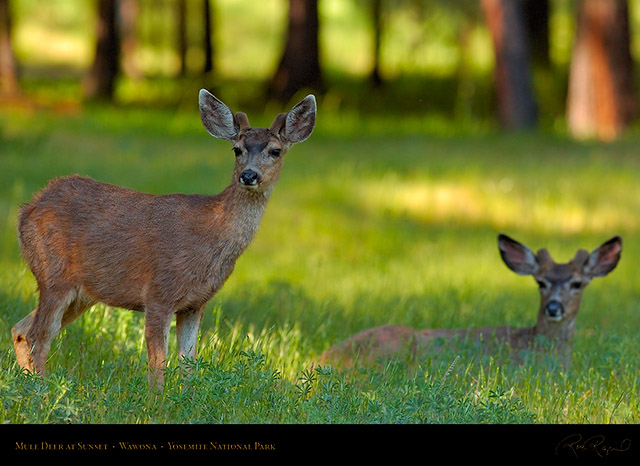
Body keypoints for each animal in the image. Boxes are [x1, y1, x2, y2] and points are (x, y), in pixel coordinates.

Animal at [12, 88, 318, 390]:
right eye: (237, 149)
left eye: (275, 151)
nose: (249, 175)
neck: (212, 233)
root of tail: (27, 210)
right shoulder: (159, 291)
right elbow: (157, 364)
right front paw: (155, 401)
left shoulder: (196, 303)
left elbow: (189, 363)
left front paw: (186, 397)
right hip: (54, 273)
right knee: (39, 336)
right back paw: (42, 392)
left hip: (82, 293)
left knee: (21, 330)